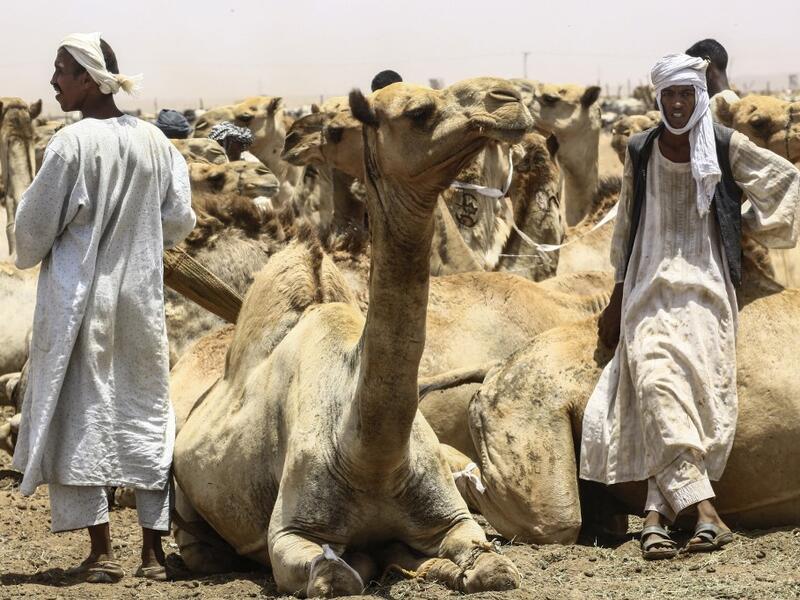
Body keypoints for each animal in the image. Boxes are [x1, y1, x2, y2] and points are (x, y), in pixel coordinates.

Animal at [170, 81, 533, 596]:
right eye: (419, 111)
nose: (508, 99)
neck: (368, 454)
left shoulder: (452, 518)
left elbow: (493, 567)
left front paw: (429, 564)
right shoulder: (291, 533)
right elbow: (338, 574)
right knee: (200, 545)